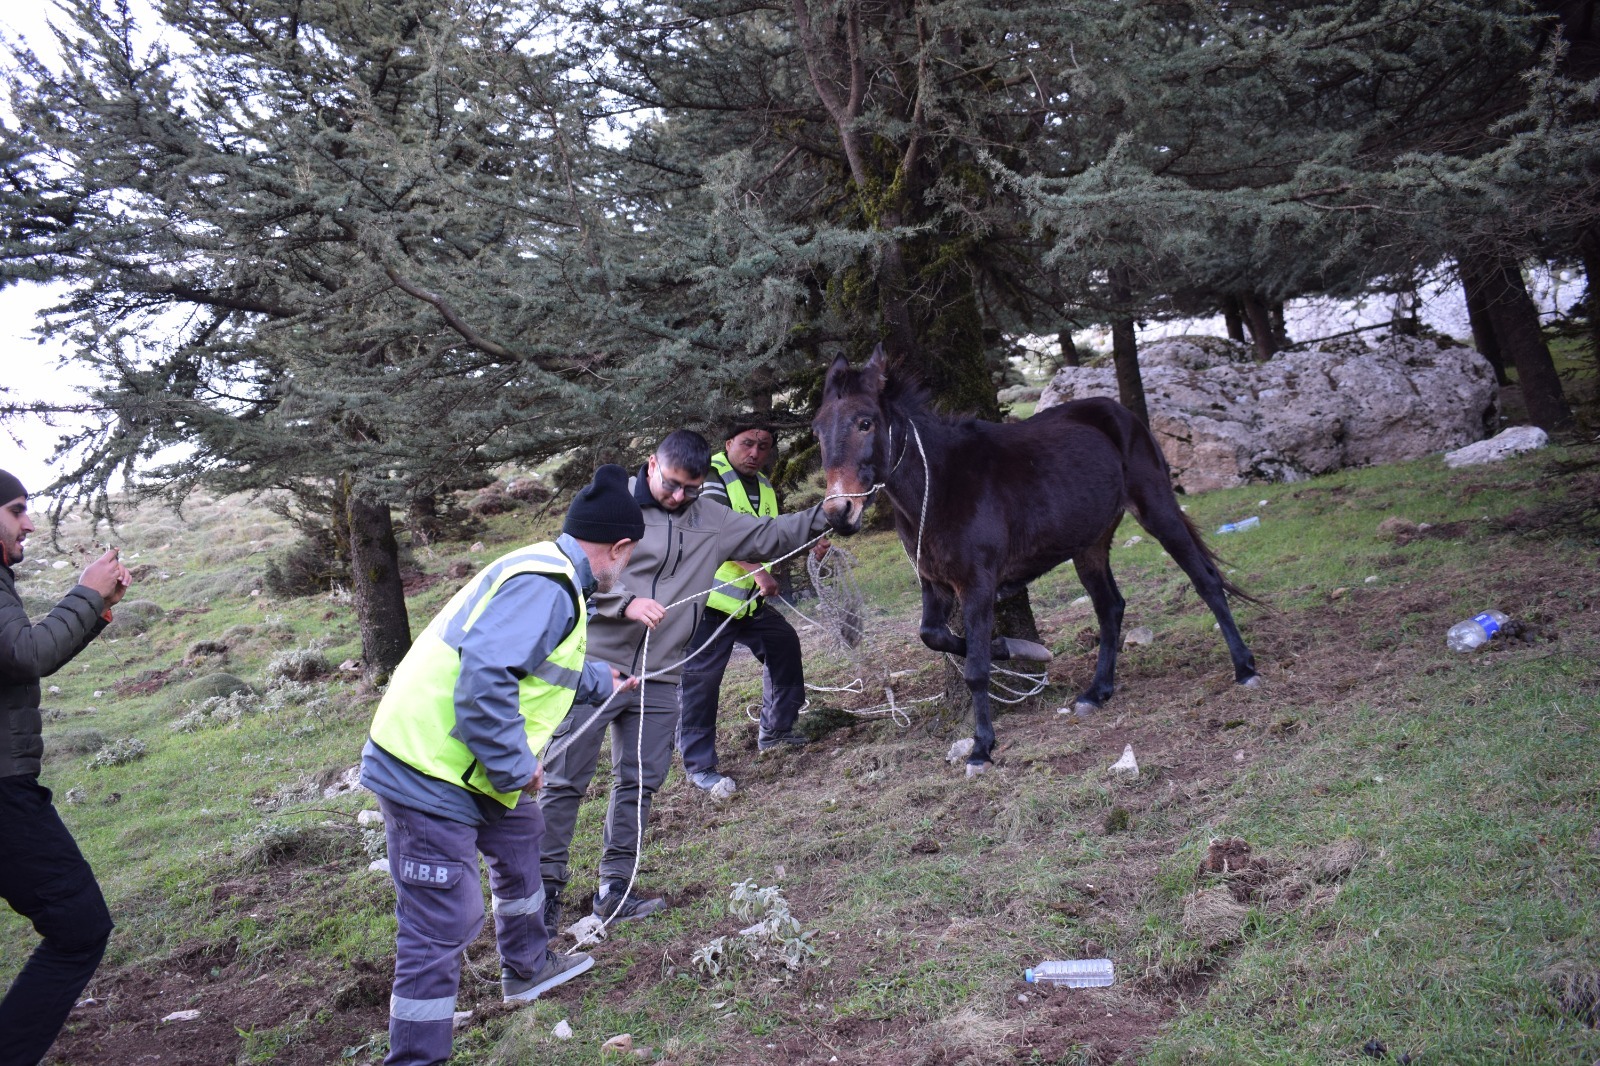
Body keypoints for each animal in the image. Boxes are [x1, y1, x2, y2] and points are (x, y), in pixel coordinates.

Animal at [819, 348, 1254, 771]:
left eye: (864, 423)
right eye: (818, 430)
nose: (839, 513)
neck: (939, 485)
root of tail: (1119, 412)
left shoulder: (977, 584)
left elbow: (976, 670)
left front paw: (982, 747)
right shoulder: (935, 584)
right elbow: (933, 636)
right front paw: (1017, 648)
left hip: (1157, 509)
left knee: (1205, 580)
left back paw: (1245, 668)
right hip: (1090, 544)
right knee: (1110, 606)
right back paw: (1097, 692)